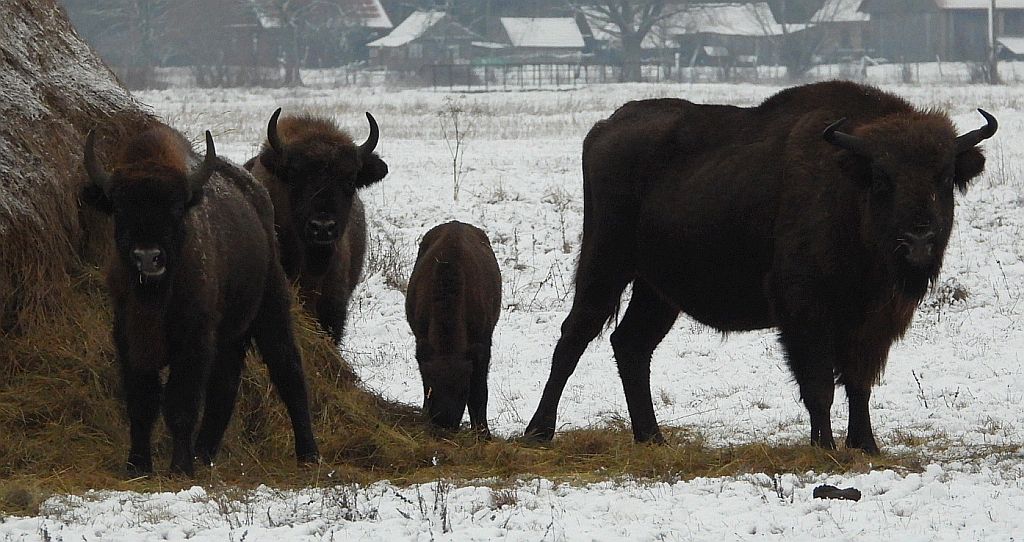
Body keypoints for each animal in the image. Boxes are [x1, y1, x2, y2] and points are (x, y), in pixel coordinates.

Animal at [81, 124, 318, 475]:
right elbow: (141, 402)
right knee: (225, 386)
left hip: (270, 308)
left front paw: (180, 466)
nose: (148, 257)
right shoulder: (128, 337)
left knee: (287, 369)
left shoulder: (193, 340)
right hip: (230, 335)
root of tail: (257, 195)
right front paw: (138, 465)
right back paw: (204, 453)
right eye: (120, 209)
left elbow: (180, 403)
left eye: (176, 209)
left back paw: (308, 454)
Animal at [406, 221, 501, 436]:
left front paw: (483, 433)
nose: (445, 424)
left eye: (463, 389)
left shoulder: (482, 347)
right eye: (432, 386)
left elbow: (480, 392)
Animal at [524, 80, 997, 453]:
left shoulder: (872, 321)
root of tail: (604, 128)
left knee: (631, 344)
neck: (849, 187)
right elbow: (819, 386)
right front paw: (824, 447)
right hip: (606, 263)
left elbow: (858, 383)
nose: (918, 242)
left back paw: (653, 438)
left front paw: (866, 446)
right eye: (882, 178)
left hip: (656, 290)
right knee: (575, 336)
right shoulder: (805, 313)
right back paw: (538, 433)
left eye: (944, 177)